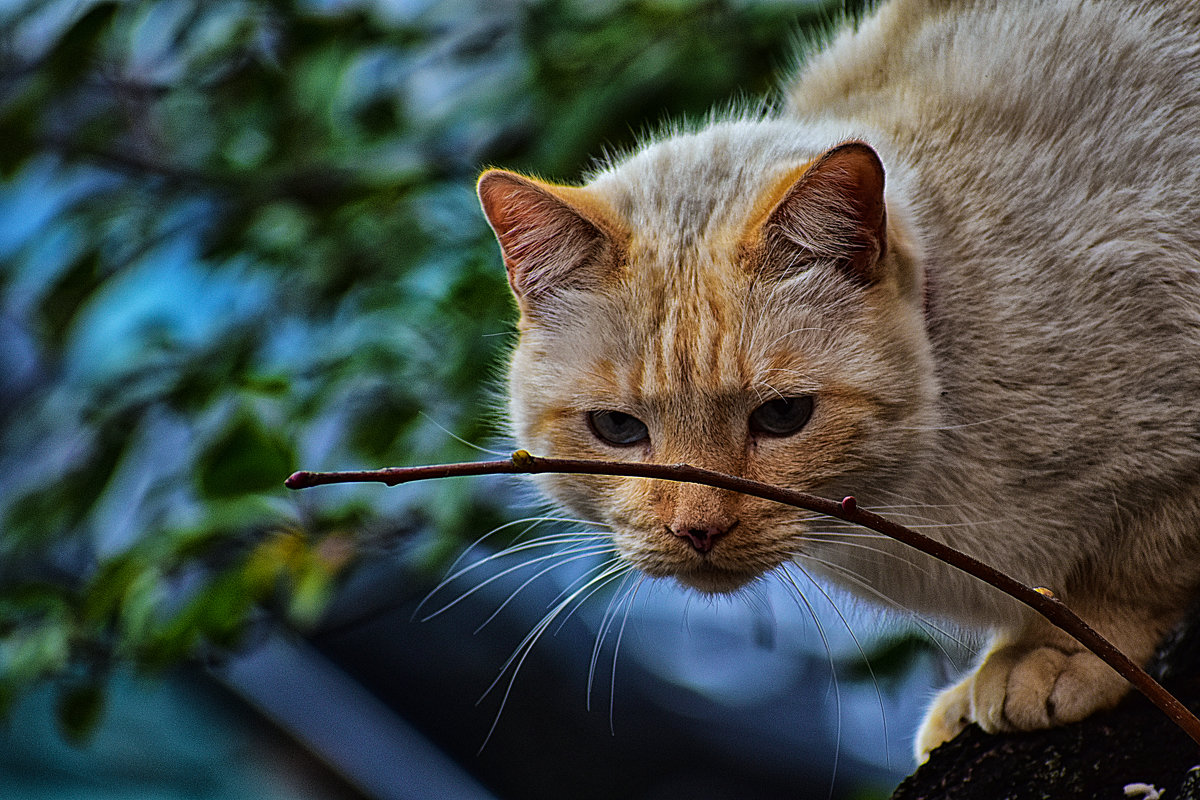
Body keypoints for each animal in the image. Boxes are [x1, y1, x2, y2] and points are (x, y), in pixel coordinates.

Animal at [470, 0, 1200, 762]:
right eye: (618, 429)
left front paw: (1051, 655)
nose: (697, 530)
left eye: (783, 416)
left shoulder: (1172, 449)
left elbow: (1125, 575)